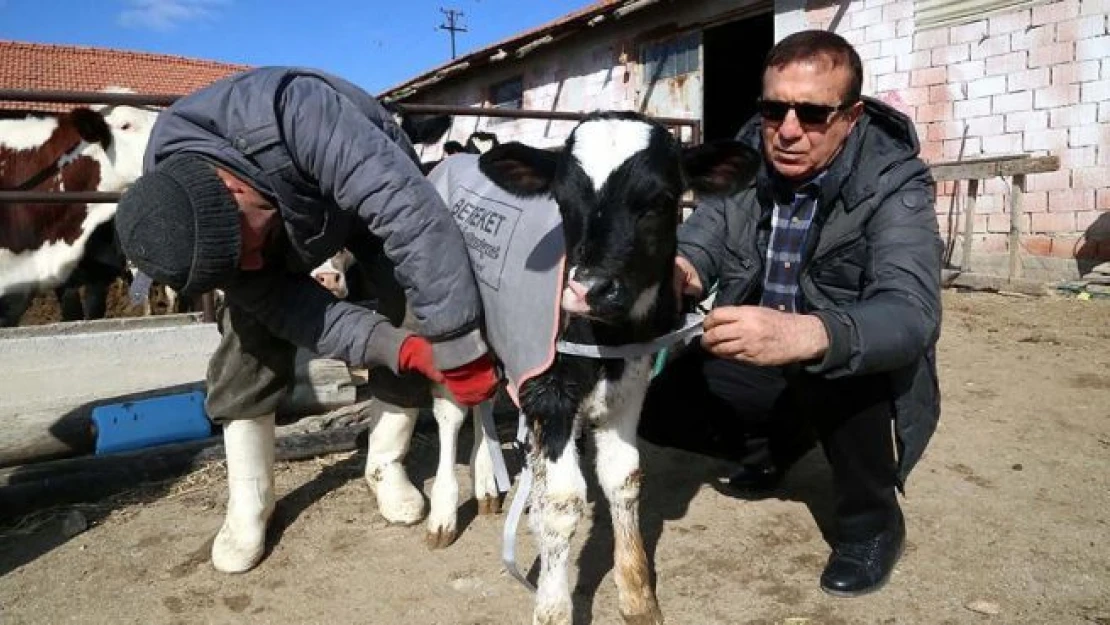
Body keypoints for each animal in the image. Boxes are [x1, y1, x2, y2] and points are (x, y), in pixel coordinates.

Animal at [368, 112, 759, 625]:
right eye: (563, 200)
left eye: (661, 200)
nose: (589, 288)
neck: (602, 339)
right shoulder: (546, 392)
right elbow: (561, 501)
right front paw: (552, 606)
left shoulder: (628, 386)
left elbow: (624, 478)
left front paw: (637, 595)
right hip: (445, 321)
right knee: (452, 411)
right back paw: (445, 513)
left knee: (482, 400)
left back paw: (487, 483)